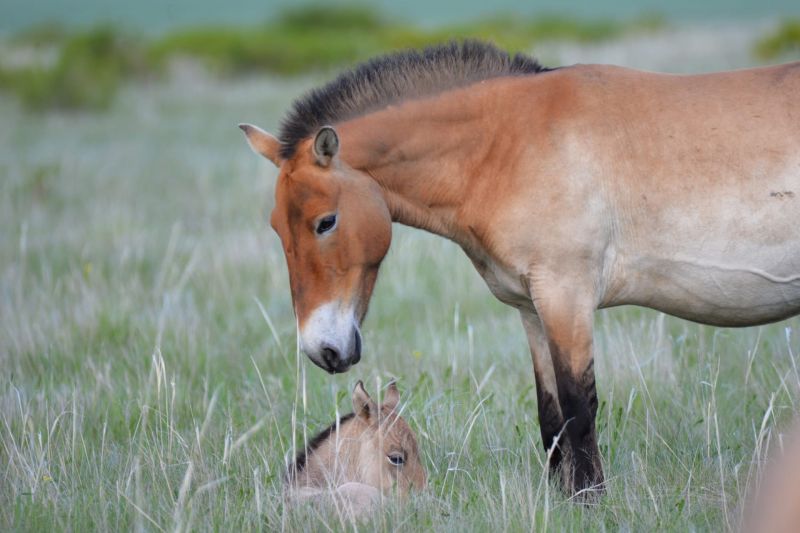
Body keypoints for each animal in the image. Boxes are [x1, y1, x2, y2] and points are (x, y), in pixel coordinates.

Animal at [241, 41, 800, 494]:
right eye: (276, 227)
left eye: (325, 222)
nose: (323, 350)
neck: (507, 148)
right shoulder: (532, 308)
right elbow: (550, 417)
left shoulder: (566, 297)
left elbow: (578, 410)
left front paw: (591, 501)